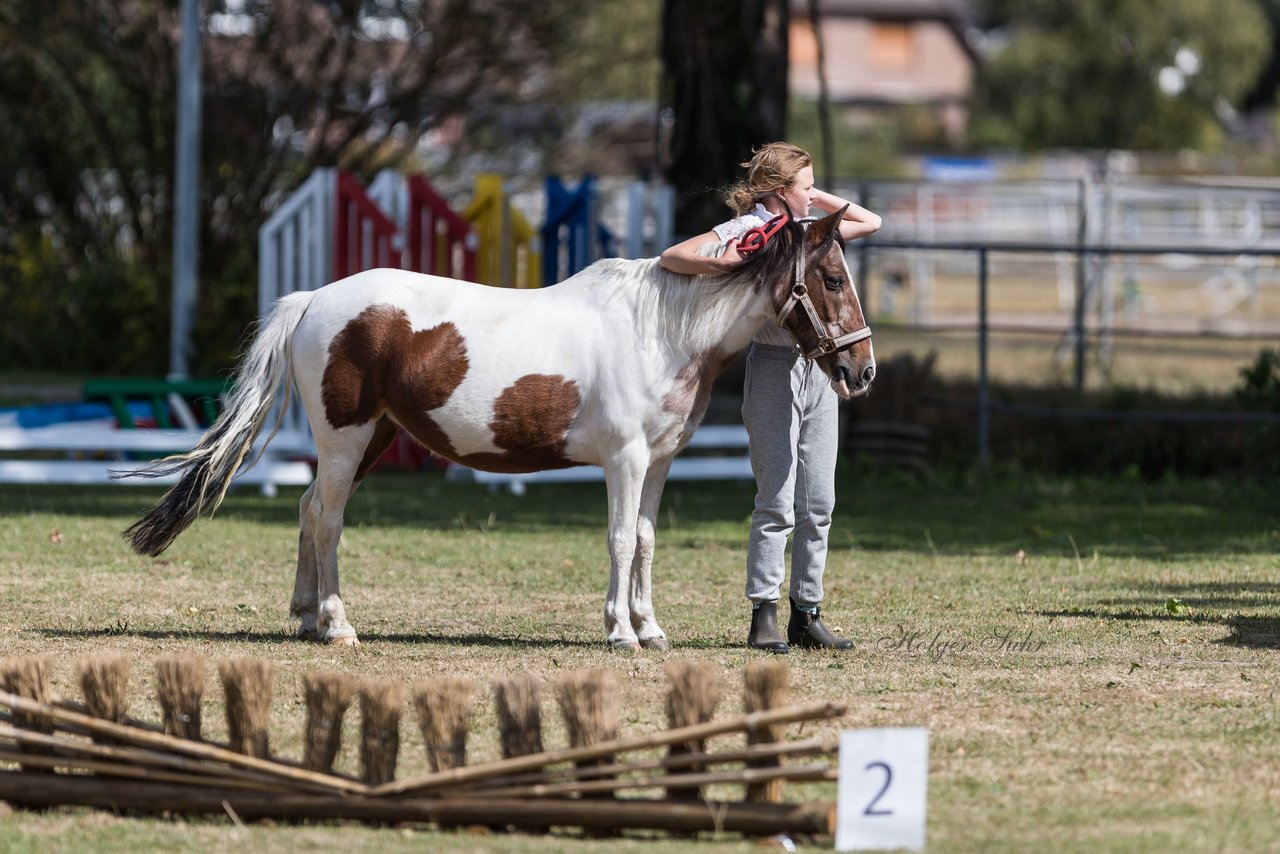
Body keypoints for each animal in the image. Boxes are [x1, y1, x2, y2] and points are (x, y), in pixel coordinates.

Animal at [124, 207, 875, 647]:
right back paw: (338, 626)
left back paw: (308, 617)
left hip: (370, 440)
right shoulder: (625, 461)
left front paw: (651, 628)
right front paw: (620, 634)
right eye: (834, 278)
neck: (660, 330)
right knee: (329, 520)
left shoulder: (658, 462)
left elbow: (646, 542)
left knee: (310, 510)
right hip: (345, 440)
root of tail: (314, 301)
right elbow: (619, 541)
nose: (861, 371)